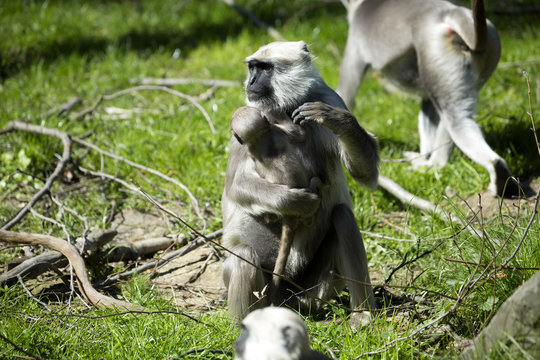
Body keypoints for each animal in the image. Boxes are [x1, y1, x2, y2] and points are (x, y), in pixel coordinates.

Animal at [221, 40, 378, 322]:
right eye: (252, 67)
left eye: (265, 68)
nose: (251, 81)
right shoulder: (249, 114)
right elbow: (235, 186)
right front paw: (297, 202)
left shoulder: (328, 97)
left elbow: (366, 174)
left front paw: (337, 120)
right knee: (242, 254)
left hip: (316, 287)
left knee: (342, 217)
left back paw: (361, 315)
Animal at [338, 0, 520, 197]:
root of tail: (450, 12)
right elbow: (428, 107)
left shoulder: (356, 36)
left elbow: (345, 95)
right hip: (487, 50)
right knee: (445, 112)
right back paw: (426, 161)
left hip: (437, 51)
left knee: (455, 121)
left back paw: (435, 165)